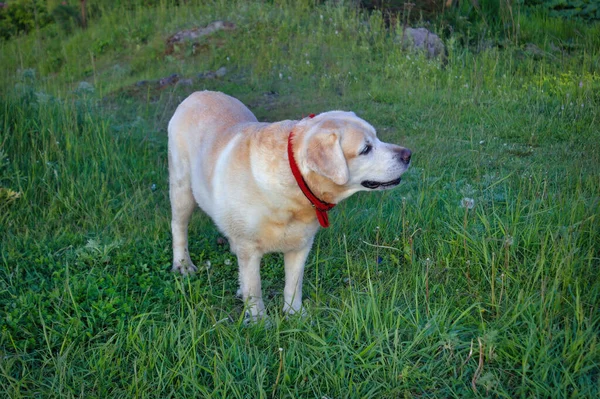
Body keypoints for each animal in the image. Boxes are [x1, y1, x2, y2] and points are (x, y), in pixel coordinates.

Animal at [169, 92, 412, 320]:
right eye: (365, 149)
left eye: (377, 138)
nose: (408, 154)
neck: (293, 187)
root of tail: (198, 93)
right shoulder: (250, 248)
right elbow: (254, 287)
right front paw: (259, 321)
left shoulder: (301, 244)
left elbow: (294, 283)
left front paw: (295, 314)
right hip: (182, 188)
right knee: (178, 226)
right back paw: (182, 264)